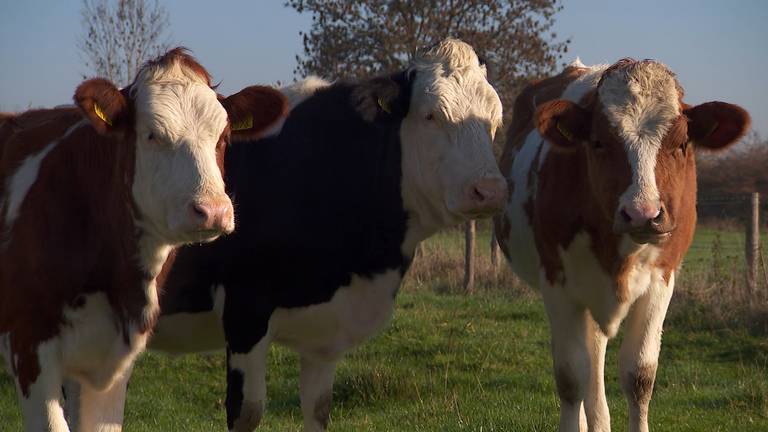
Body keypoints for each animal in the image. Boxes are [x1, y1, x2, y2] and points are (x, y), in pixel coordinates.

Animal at [84, 38, 508, 432]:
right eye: (431, 115)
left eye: (495, 121)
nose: (489, 190)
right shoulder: (246, 308)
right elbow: (247, 411)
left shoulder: (326, 331)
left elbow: (318, 409)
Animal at [492, 58, 752, 432]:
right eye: (599, 142)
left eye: (680, 144)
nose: (642, 214)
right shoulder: (557, 284)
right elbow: (570, 377)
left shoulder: (661, 281)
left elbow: (639, 376)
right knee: (585, 366)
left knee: (595, 354)